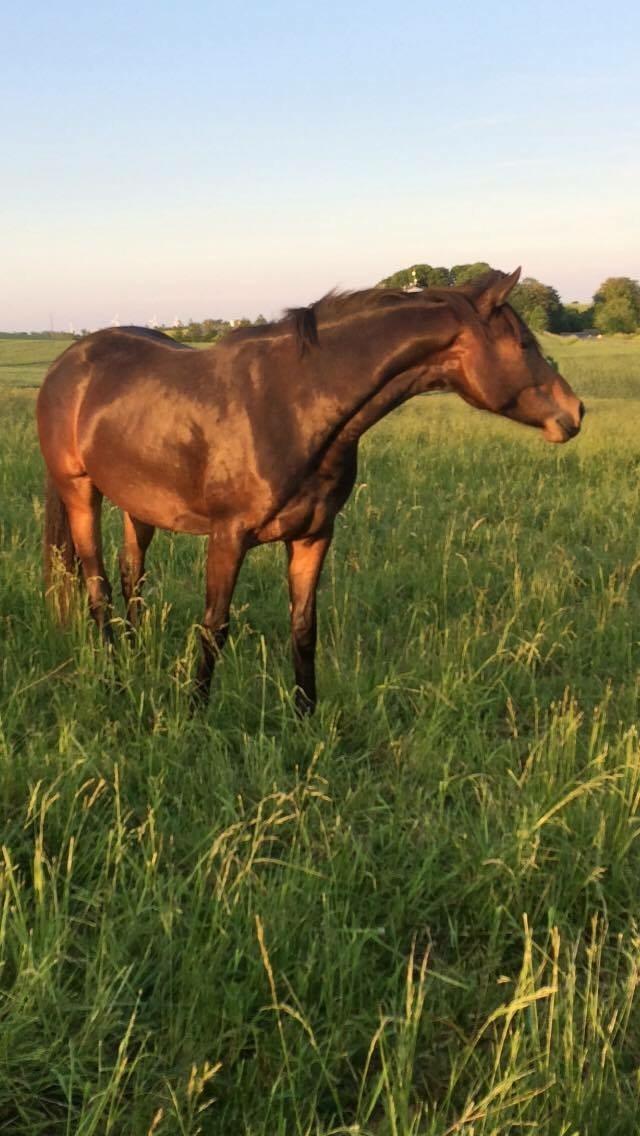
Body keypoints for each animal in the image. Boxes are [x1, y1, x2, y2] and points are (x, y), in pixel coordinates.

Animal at [36, 268, 586, 708]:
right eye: (523, 344)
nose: (575, 412)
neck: (293, 404)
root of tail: (69, 362)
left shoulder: (314, 535)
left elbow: (303, 628)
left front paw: (306, 716)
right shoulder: (228, 538)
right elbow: (215, 626)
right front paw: (193, 712)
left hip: (140, 505)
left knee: (132, 576)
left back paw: (135, 657)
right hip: (80, 493)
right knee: (98, 586)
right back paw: (114, 677)